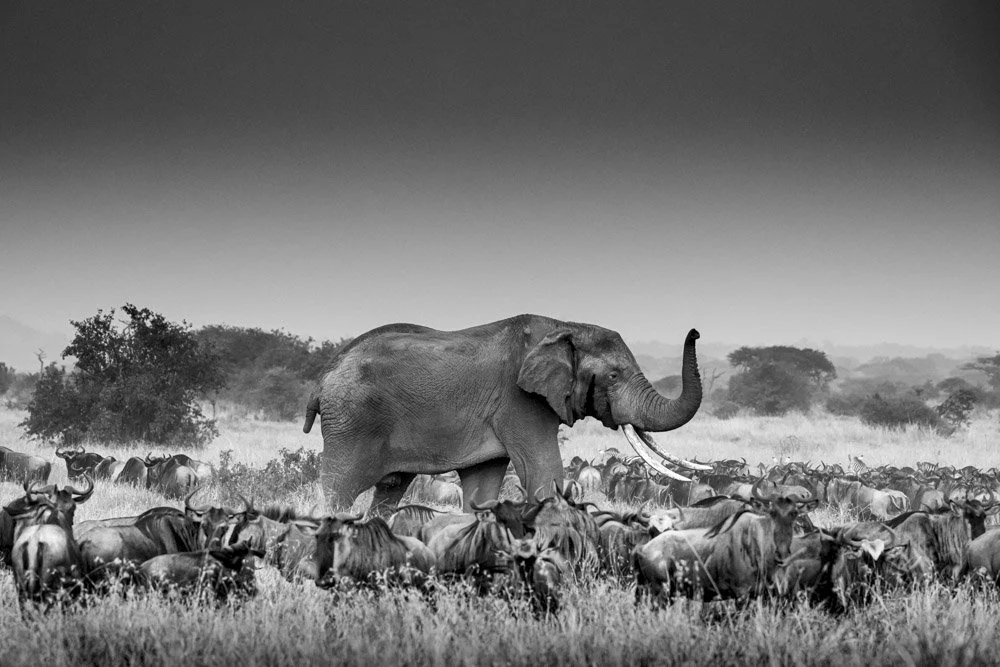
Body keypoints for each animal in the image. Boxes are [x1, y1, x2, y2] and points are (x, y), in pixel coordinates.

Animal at [303, 315, 706, 514]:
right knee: (338, 491)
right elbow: (543, 473)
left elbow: (482, 490)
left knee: (388, 493)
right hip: (351, 424)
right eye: (613, 376)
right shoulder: (519, 401)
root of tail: (323, 377)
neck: (566, 328)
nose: (697, 332)